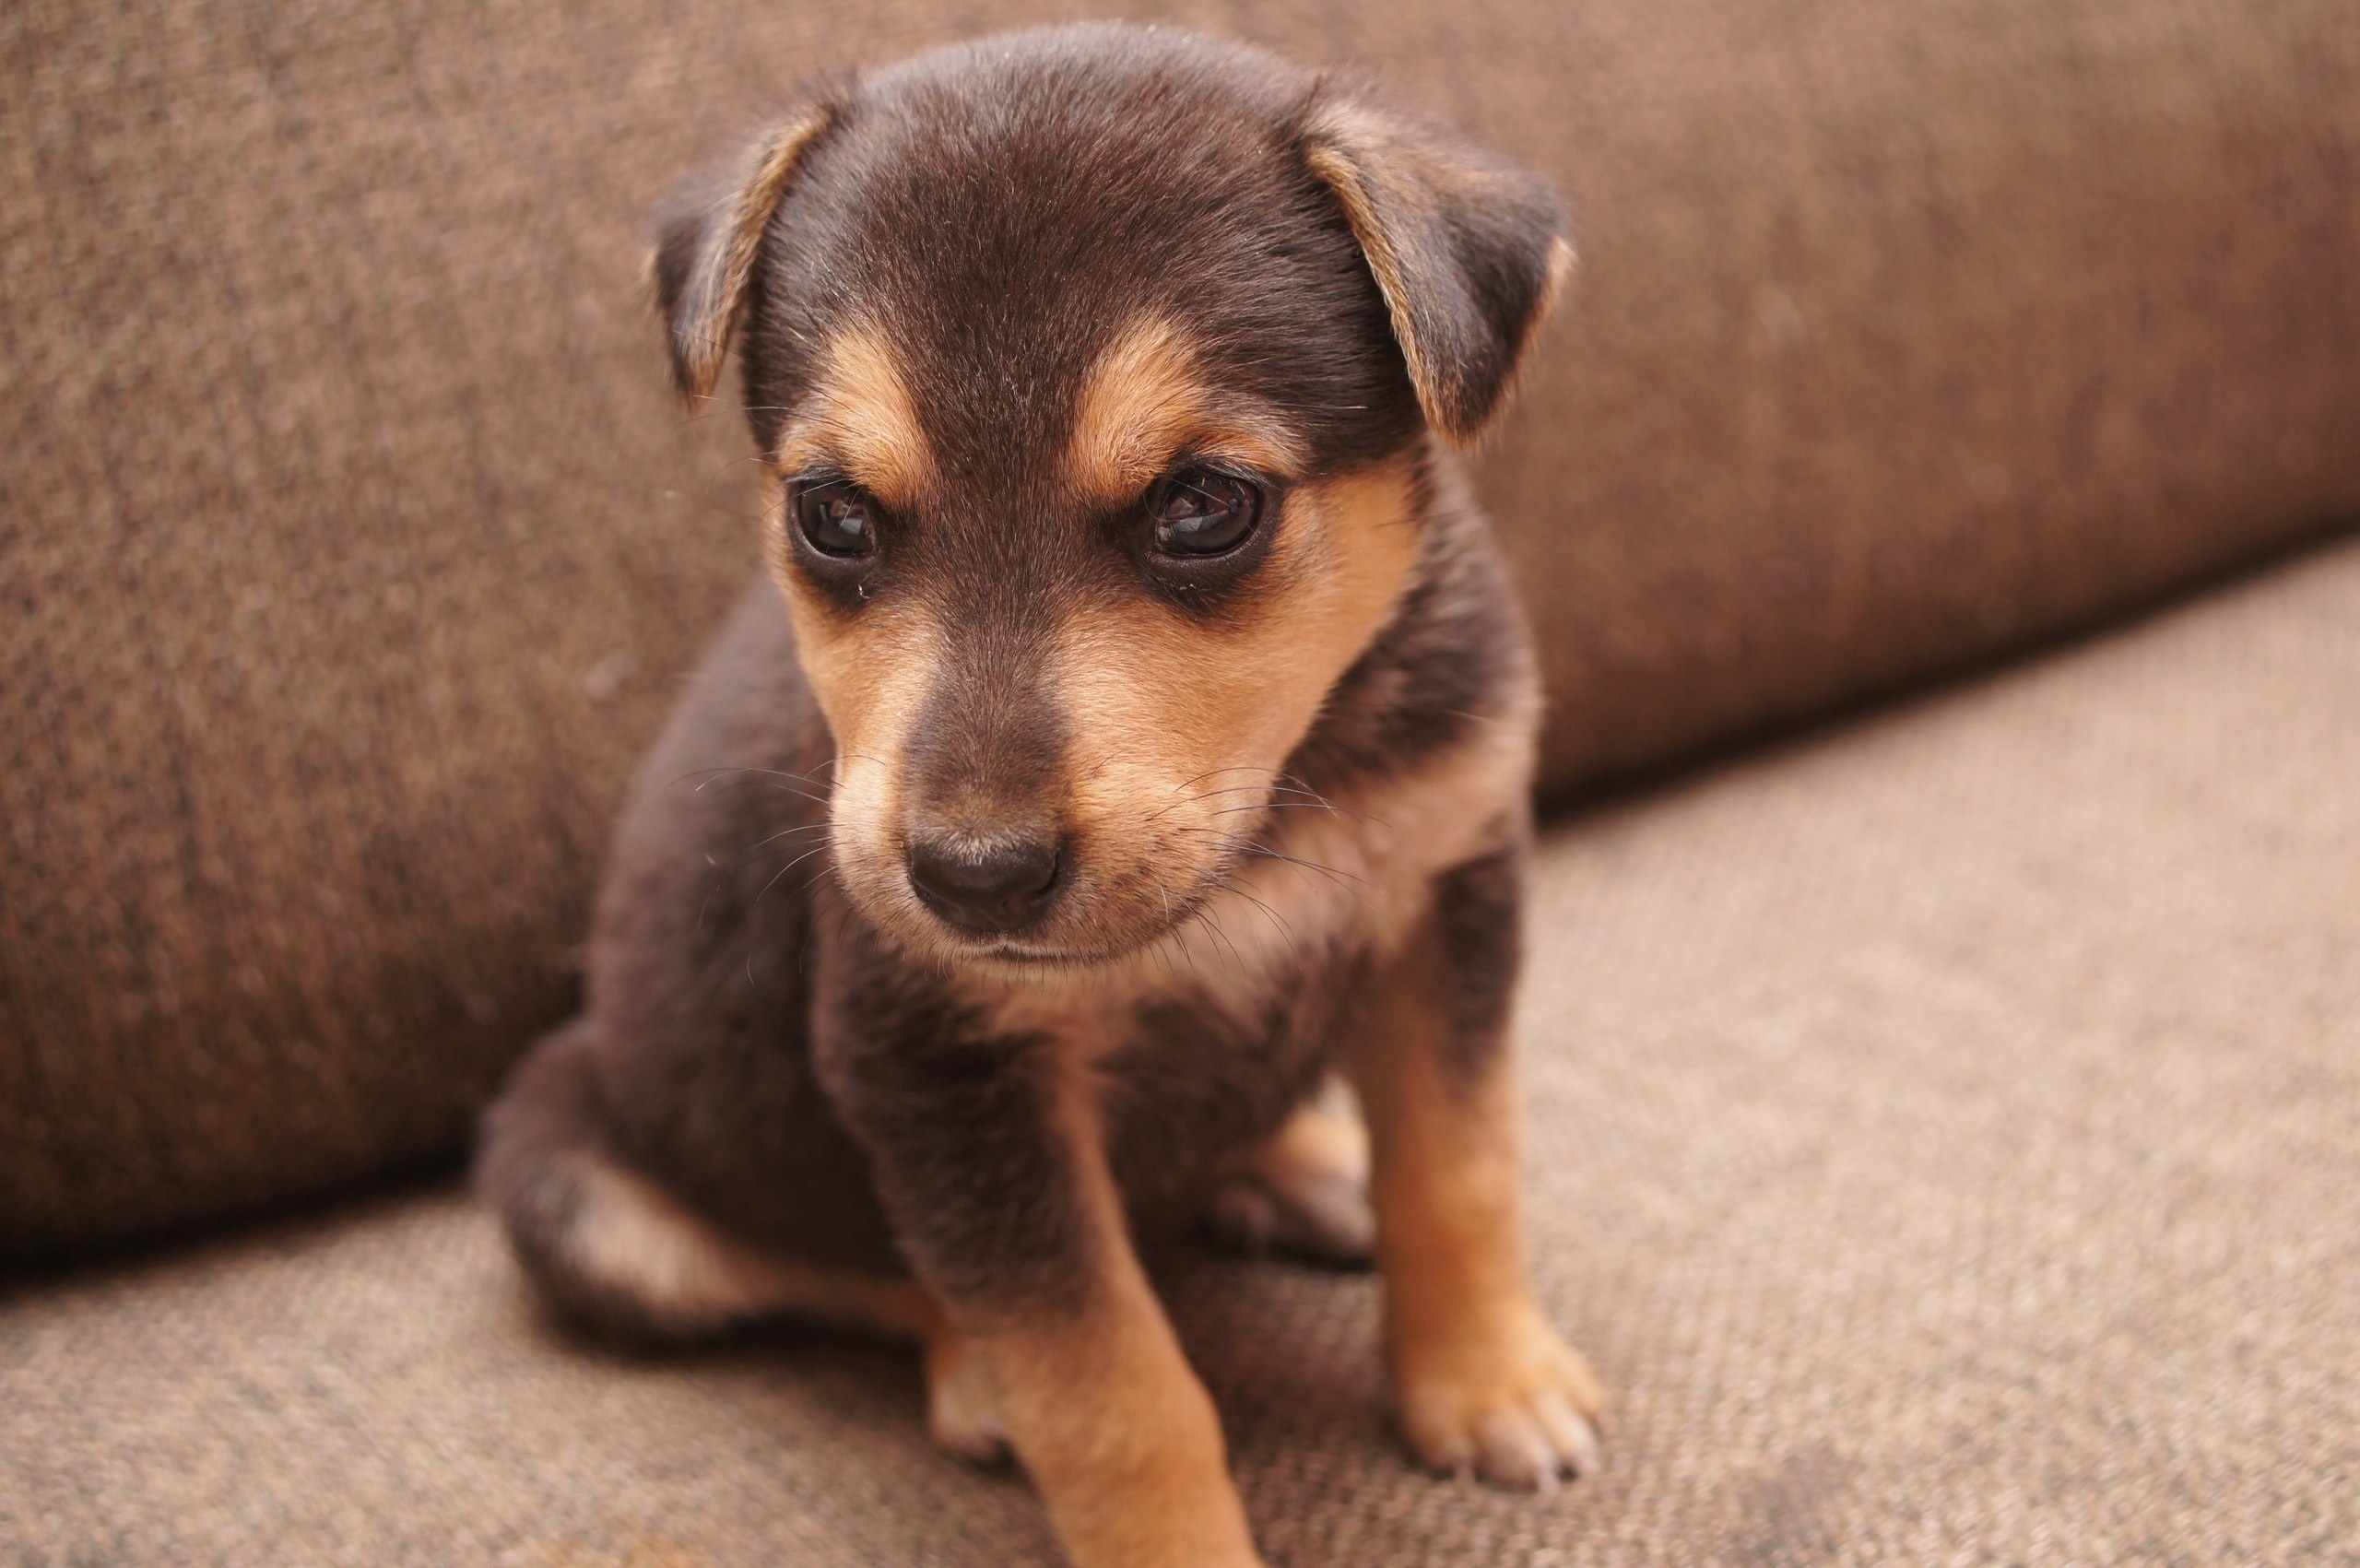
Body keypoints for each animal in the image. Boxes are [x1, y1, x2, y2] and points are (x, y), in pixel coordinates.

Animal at [474, 24, 1604, 1568]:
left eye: (1204, 505)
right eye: (831, 513)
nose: (973, 877)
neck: (1263, 827)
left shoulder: (1447, 897)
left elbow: (1461, 1167)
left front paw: (1490, 1381)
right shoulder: (938, 1070)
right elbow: (1107, 1379)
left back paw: (1300, 1163)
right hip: (579, 1181)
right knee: (855, 1271)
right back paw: (977, 1371)